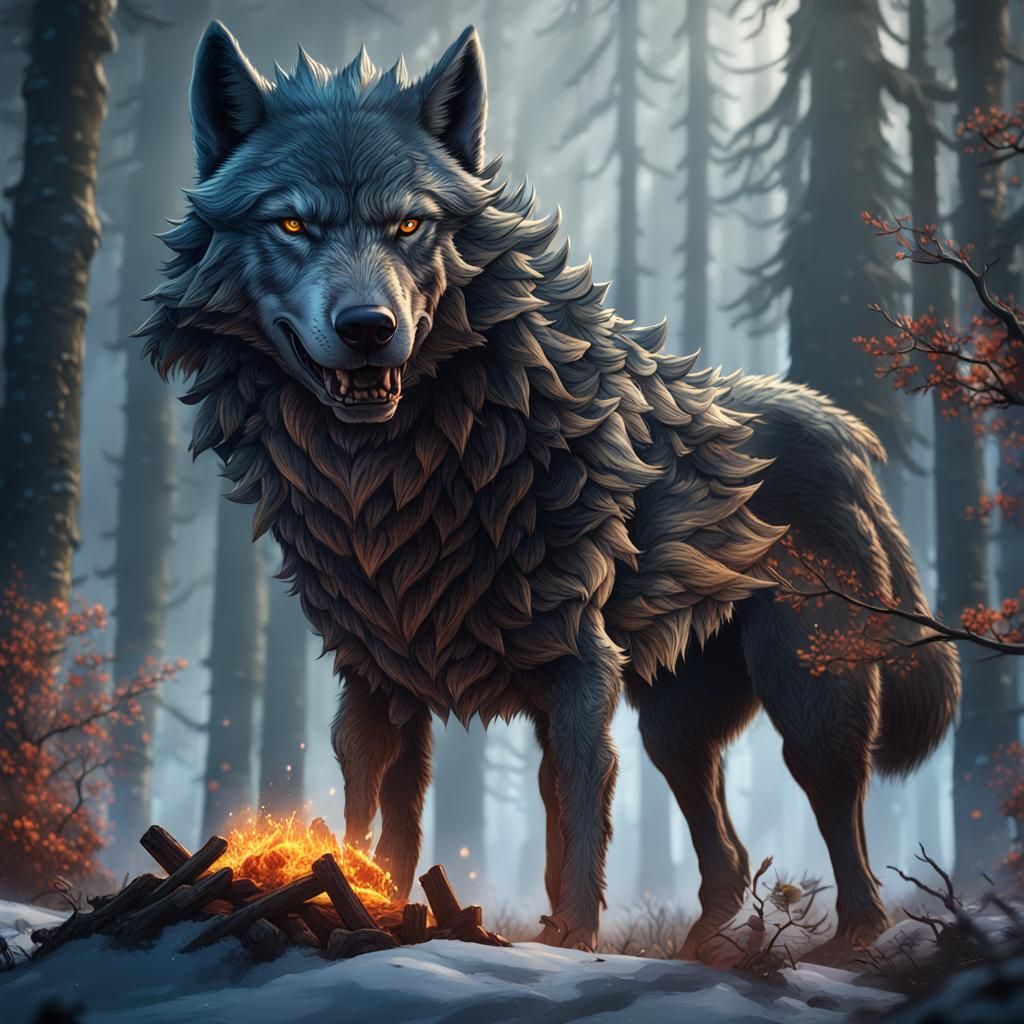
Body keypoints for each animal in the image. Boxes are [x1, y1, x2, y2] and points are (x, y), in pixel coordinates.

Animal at [142, 22, 961, 960]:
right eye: (291, 224)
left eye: (410, 224)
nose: (369, 330)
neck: (399, 478)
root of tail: (842, 426)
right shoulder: (380, 677)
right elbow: (381, 813)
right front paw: (367, 897)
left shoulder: (579, 670)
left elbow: (574, 808)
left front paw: (570, 941)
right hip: (673, 723)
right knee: (725, 853)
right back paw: (706, 949)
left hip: (806, 695)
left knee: (838, 814)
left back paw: (847, 943)